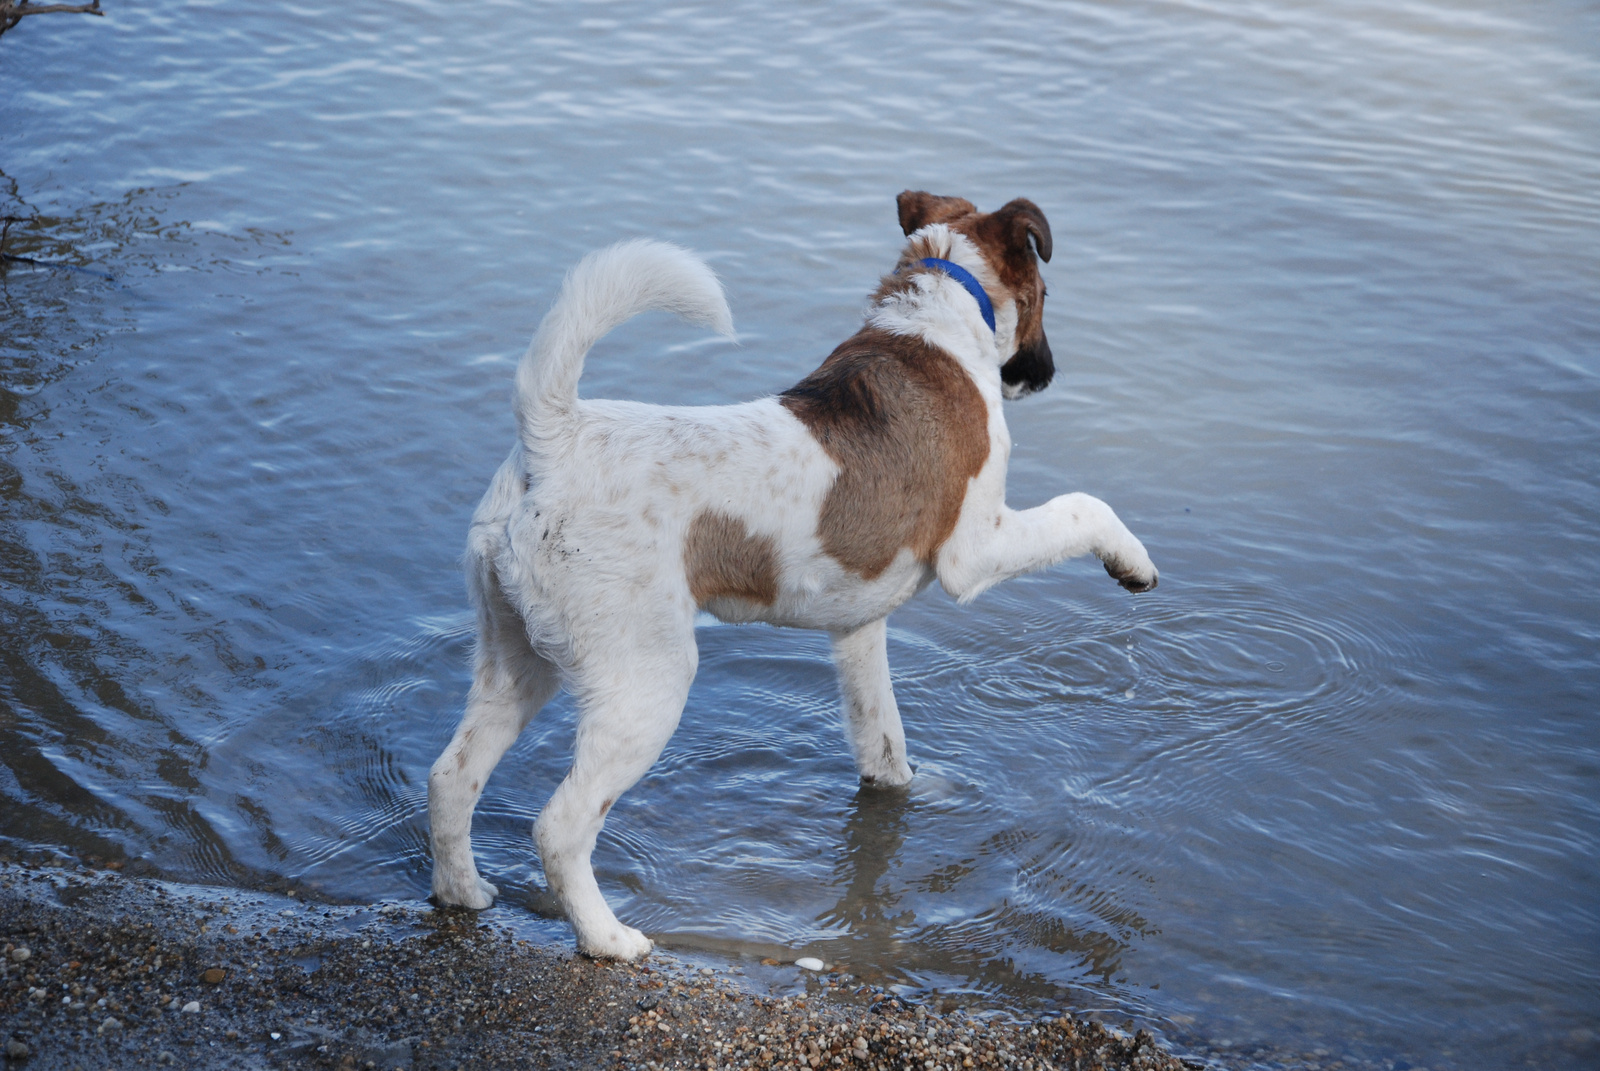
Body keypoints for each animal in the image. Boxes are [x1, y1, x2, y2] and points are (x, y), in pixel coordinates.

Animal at [425, 192, 1158, 960]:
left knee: (451, 777)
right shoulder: (976, 551)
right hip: (646, 683)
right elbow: (1085, 507)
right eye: (1047, 294)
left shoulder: (859, 627)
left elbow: (883, 740)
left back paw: (462, 891)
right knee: (560, 826)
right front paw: (1132, 562)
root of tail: (553, 440)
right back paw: (609, 937)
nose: (1044, 373)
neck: (937, 319)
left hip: (516, 661)